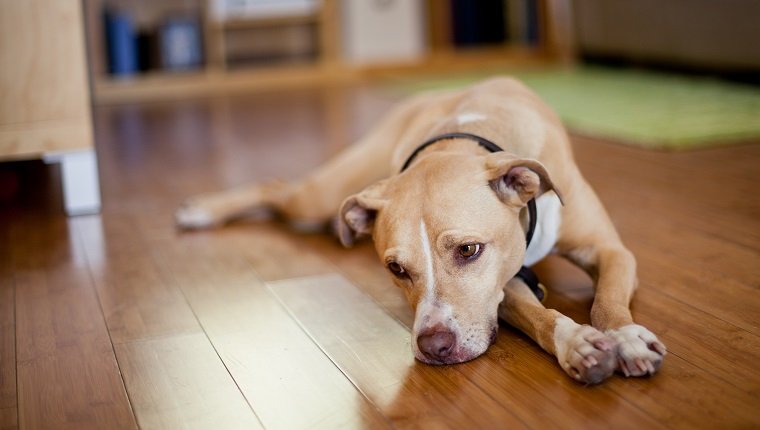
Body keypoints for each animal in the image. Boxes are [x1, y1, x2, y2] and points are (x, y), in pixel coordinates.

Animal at [177, 76, 664, 382]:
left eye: (468, 250)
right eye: (395, 269)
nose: (434, 346)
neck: (466, 136)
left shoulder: (609, 250)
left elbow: (608, 301)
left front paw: (626, 338)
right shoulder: (501, 289)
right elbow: (539, 315)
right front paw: (577, 343)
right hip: (324, 194)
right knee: (276, 186)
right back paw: (201, 211)